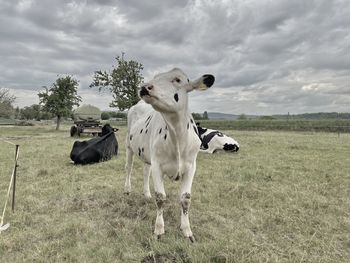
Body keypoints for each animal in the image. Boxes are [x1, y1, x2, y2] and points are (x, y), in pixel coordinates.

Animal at [124, 67, 215, 241]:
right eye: (155, 77)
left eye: (178, 80)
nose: (145, 87)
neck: (177, 137)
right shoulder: (158, 165)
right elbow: (161, 197)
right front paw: (159, 229)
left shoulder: (191, 166)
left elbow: (185, 199)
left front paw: (187, 231)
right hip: (129, 146)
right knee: (129, 168)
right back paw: (127, 189)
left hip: (147, 154)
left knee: (145, 171)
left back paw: (146, 194)